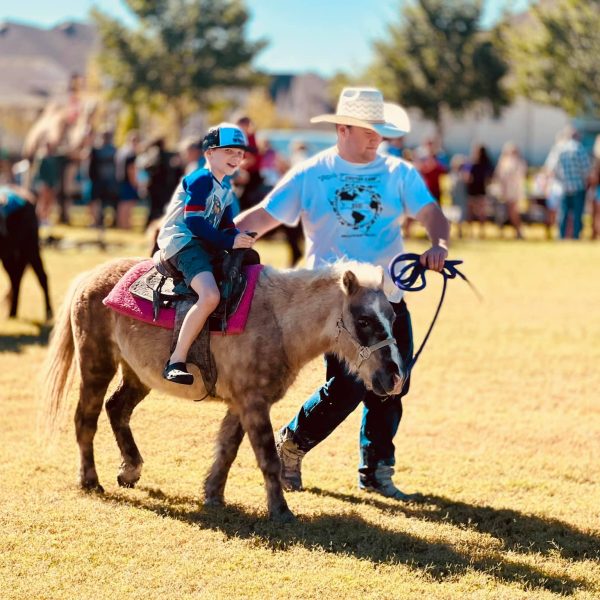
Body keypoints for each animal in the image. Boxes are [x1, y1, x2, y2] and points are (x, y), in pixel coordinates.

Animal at [44, 256, 406, 520]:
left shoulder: (241, 403)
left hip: (137, 375)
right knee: (85, 419)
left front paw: (213, 495)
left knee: (117, 409)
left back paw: (130, 470)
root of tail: (91, 276)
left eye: (392, 317)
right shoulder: (254, 402)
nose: (394, 377)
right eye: (364, 321)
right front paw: (281, 511)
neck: (278, 320)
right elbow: (267, 457)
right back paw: (91, 480)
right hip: (96, 364)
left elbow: (227, 450)